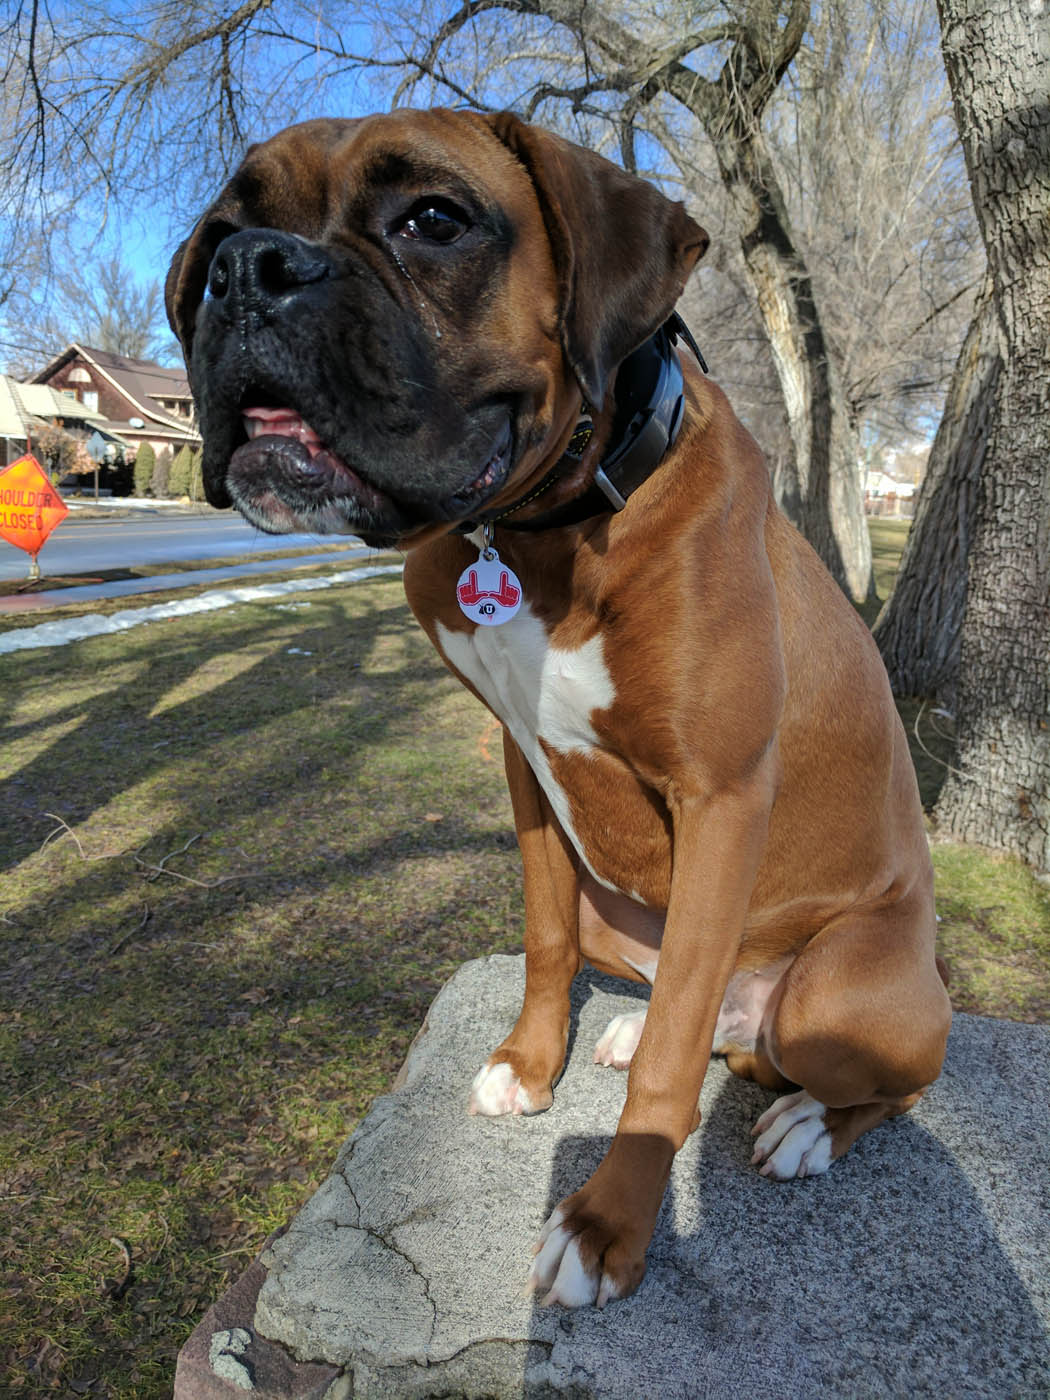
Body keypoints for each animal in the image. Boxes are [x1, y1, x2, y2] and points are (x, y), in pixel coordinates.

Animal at [166, 109, 952, 1310]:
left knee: (861, 1077)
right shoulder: (521, 760)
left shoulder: (723, 797)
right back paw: (631, 1027)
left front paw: (607, 1224)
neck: (544, 525)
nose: (249, 270)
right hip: (620, 920)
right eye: (223, 231)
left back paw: (808, 1122)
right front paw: (529, 1067)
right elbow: (542, 936)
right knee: (694, 1006)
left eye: (433, 219)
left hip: (836, 996)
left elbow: (673, 1067)